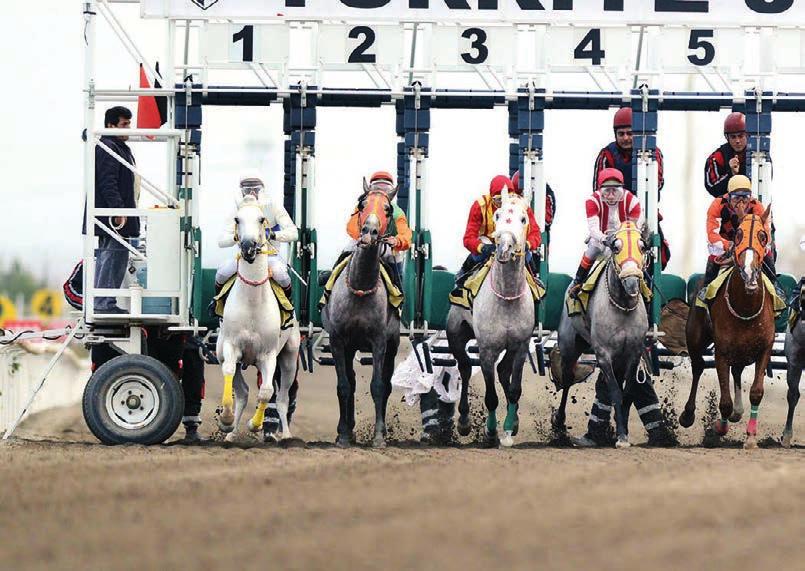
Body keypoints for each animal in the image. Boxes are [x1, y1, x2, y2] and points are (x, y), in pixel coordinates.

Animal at [215, 197, 300, 442]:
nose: (248, 247)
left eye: (262, 219)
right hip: (221, 352)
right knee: (242, 392)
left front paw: (255, 424)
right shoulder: (231, 347)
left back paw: (286, 435)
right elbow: (229, 372)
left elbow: (267, 391)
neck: (252, 303)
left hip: (289, 358)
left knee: (281, 398)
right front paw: (225, 420)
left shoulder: (268, 354)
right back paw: (231, 433)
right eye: (237, 219)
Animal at [318, 190, 398, 450]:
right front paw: (343, 435)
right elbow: (343, 386)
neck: (360, 285)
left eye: (388, 209)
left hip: (392, 346)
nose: (368, 232)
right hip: (349, 346)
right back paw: (346, 429)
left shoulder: (379, 341)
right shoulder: (337, 341)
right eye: (362, 204)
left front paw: (379, 436)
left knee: (387, 384)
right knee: (350, 382)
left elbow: (378, 386)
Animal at [446, 190, 532, 450]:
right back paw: (464, 421)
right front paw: (491, 432)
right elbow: (491, 396)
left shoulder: (521, 345)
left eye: (523, 219)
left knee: (504, 372)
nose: (503, 247)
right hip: (456, 332)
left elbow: (514, 389)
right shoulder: (486, 349)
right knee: (464, 367)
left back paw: (514, 421)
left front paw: (508, 430)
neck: (506, 298)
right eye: (498, 215)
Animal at [556, 221, 652, 450]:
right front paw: (621, 436)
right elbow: (615, 391)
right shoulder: (603, 354)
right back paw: (559, 424)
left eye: (642, 247)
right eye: (616, 247)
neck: (622, 307)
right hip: (569, 345)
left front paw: (621, 431)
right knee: (567, 379)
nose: (632, 282)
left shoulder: (633, 353)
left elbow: (627, 392)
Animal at [680, 204, 772, 446]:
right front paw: (720, 427)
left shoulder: (764, 348)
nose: (749, 272)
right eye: (738, 234)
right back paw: (687, 414)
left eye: (762, 235)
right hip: (695, 336)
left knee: (737, 370)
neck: (745, 307)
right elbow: (724, 402)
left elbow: (756, 392)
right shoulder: (721, 351)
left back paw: (739, 412)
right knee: (698, 366)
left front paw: (751, 437)